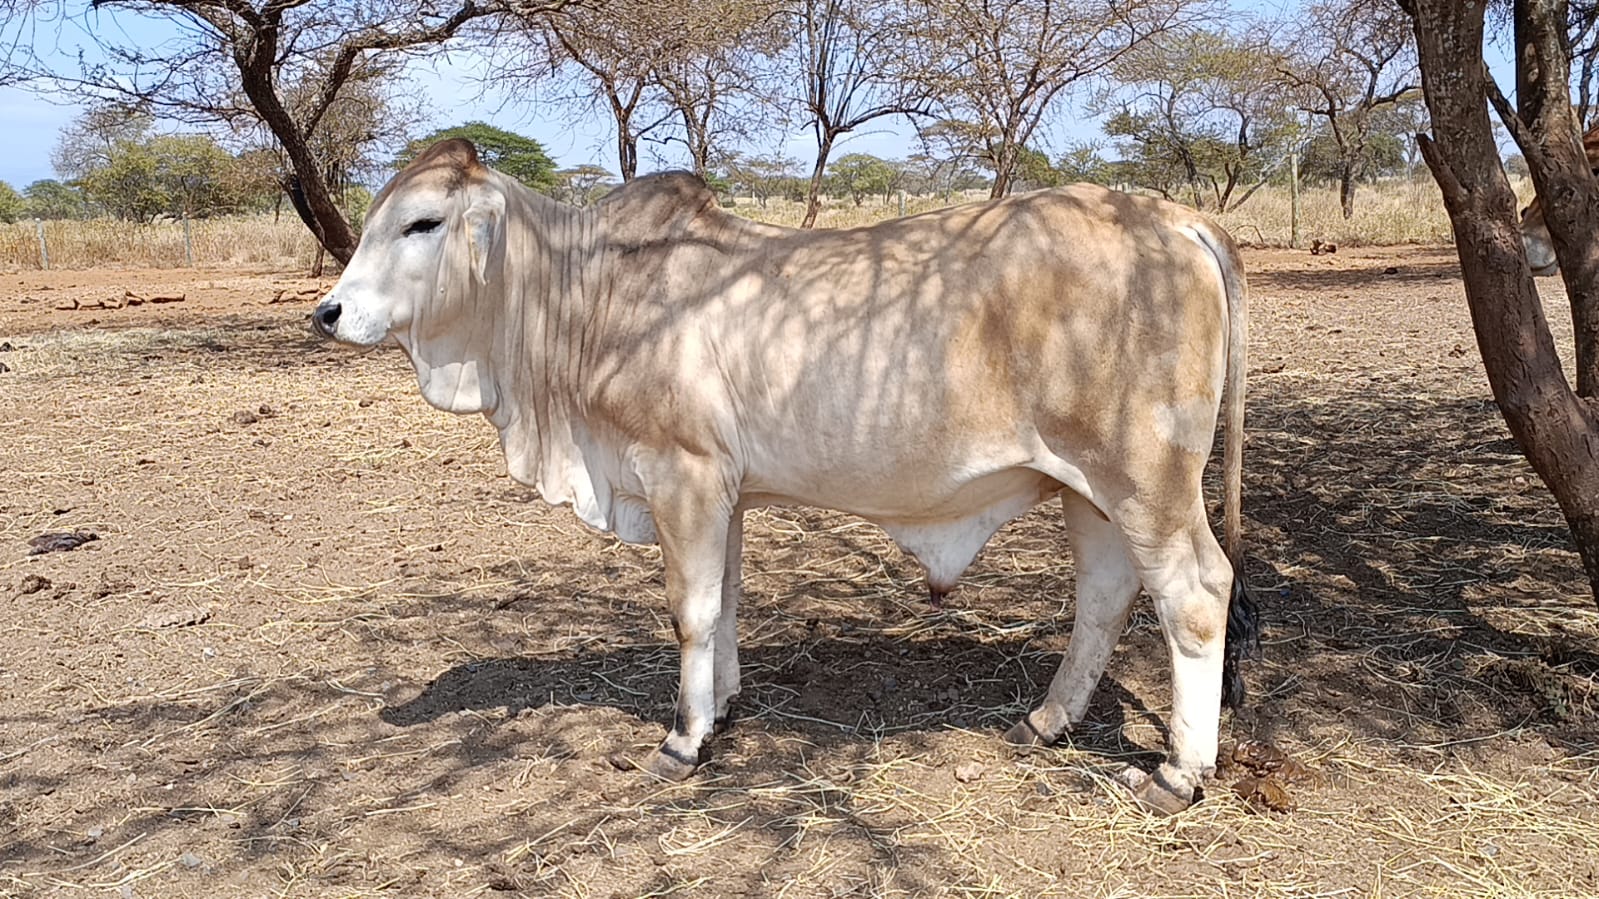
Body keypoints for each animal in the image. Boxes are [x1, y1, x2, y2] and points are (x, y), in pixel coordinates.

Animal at [311, 139, 1256, 815]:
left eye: (422, 223)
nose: (328, 312)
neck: (590, 295)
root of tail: (1173, 218)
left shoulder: (682, 474)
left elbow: (690, 612)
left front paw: (683, 740)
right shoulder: (724, 492)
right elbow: (725, 602)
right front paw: (723, 707)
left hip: (1146, 479)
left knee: (1195, 594)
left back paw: (1177, 774)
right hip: (1088, 489)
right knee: (1106, 595)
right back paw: (1046, 720)